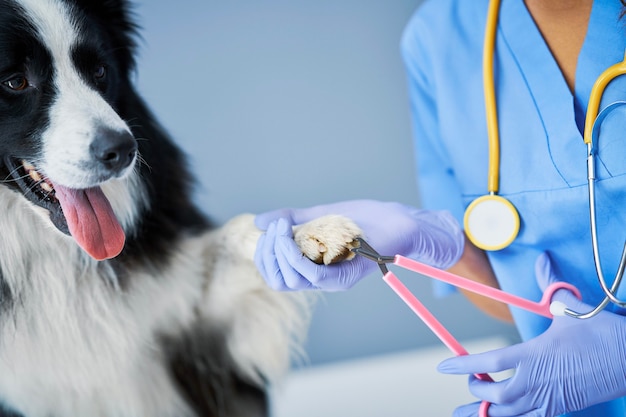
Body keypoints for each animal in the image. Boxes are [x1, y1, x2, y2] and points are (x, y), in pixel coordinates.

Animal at [0, 0, 360, 416]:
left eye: (99, 71)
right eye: (15, 82)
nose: (124, 150)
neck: (46, 253)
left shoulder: (196, 338)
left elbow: (234, 237)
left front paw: (310, 233)